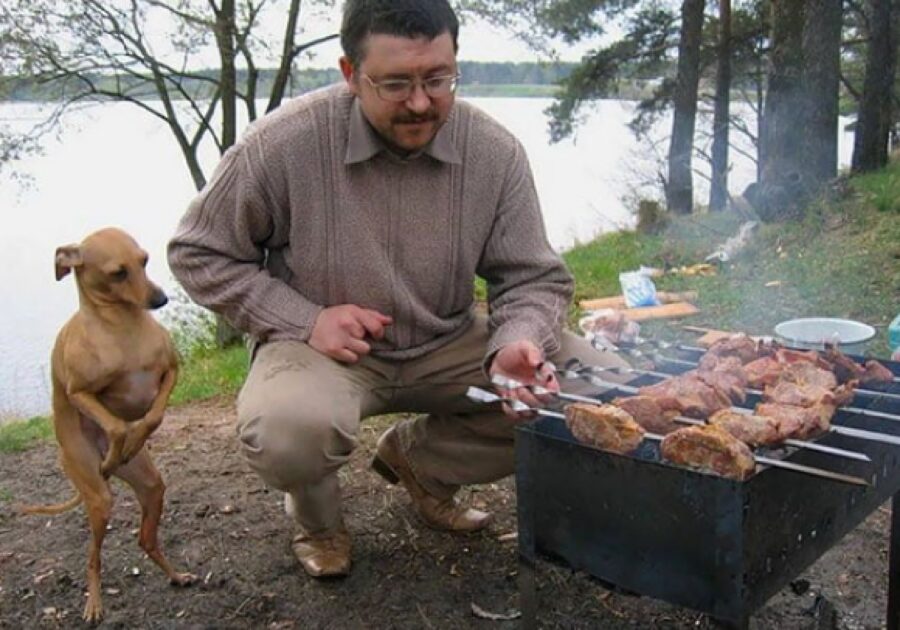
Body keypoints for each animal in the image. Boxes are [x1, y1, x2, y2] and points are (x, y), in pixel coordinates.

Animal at [20, 227, 195, 624]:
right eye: (118, 273)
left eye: (144, 260)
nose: (160, 299)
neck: (123, 332)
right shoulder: (79, 393)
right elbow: (116, 426)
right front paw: (120, 445)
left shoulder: (171, 373)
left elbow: (153, 416)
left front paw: (135, 438)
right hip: (97, 497)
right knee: (93, 558)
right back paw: (94, 603)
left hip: (151, 486)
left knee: (145, 539)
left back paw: (176, 575)